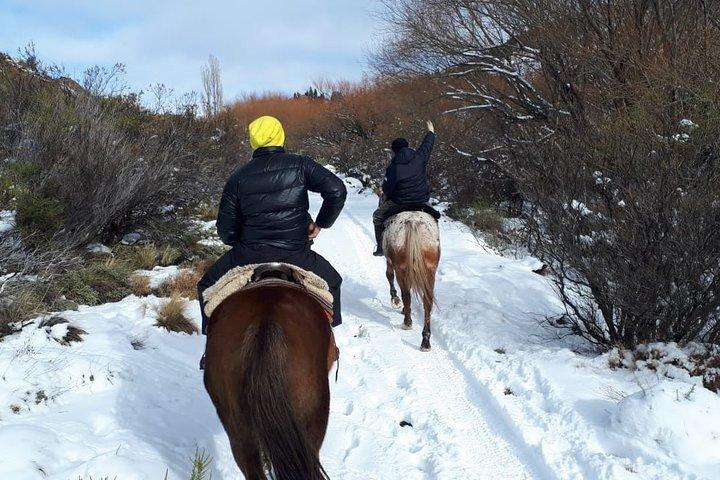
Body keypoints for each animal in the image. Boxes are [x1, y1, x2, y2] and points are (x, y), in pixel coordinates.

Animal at [383, 211, 441, 351]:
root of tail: (414, 221)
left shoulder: (390, 263)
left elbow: (389, 276)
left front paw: (395, 300)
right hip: (430, 270)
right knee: (428, 302)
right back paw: (425, 341)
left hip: (401, 269)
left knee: (406, 295)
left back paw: (407, 322)